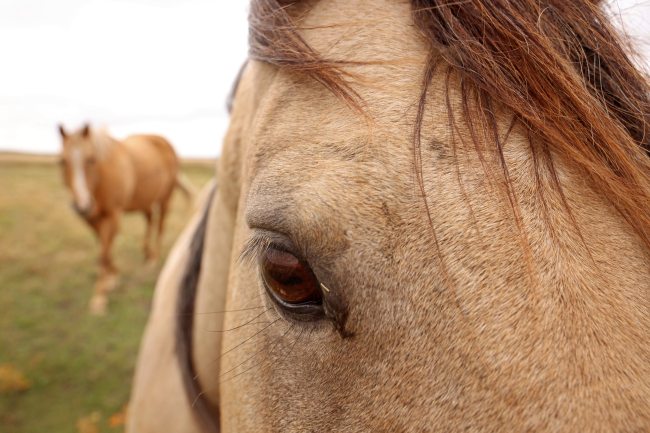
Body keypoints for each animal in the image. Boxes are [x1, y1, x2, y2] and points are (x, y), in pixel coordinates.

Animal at [58, 124, 192, 315]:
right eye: (62, 161)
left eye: (91, 160)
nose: (82, 205)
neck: (101, 177)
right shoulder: (93, 219)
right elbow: (103, 248)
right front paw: (112, 277)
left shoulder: (113, 216)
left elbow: (104, 253)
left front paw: (100, 297)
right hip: (146, 201)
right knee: (150, 222)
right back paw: (147, 255)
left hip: (165, 199)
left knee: (160, 226)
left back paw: (154, 258)